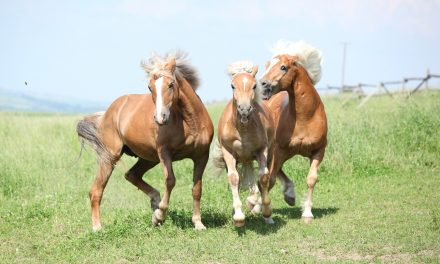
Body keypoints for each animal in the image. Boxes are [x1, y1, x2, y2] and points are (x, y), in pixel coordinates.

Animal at [76, 51, 214, 231]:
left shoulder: (202, 155)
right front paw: (160, 215)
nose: (160, 118)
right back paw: (98, 228)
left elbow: (197, 188)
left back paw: (155, 202)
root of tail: (107, 113)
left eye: (171, 84)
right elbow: (170, 181)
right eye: (150, 87)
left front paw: (198, 223)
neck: (190, 123)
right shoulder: (164, 152)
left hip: (149, 158)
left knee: (131, 175)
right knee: (96, 190)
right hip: (111, 156)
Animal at [213, 60, 276, 226]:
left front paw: (266, 212)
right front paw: (238, 216)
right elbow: (234, 178)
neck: (242, 128)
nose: (244, 109)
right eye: (232, 86)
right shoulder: (228, 152)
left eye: (254, 86)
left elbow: (263, 177)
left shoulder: (262, 150)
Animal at [260, 40, 328, 223]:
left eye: (283, 67)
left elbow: (312, 179)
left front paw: (307, 214)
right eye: (267, 65)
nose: (262, 84)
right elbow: (270, 180)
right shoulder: (279, 150)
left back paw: (289, 196)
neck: (305, 117)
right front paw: (264, 212)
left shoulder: (319, 151)